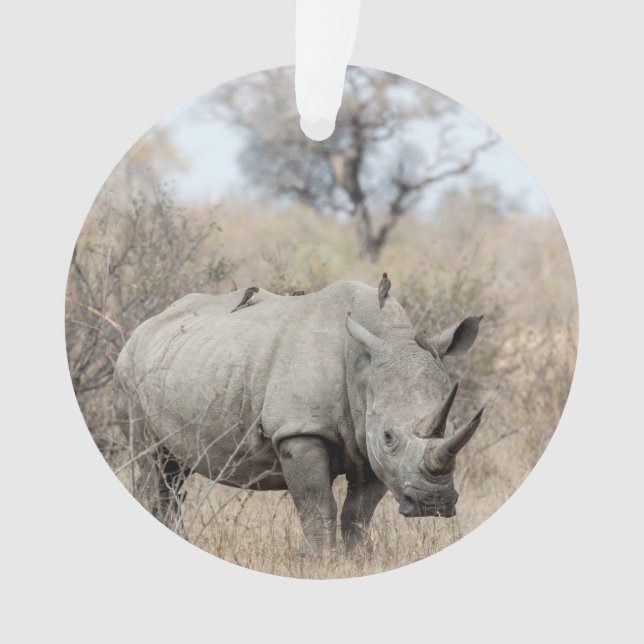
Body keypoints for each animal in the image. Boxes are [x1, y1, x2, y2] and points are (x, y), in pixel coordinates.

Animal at [113, 281, 483, 552]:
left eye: (452, 427)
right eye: (389, 437)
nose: (432, 504)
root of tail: (145, 325)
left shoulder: (368, 443)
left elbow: (358, 514)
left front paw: (358, 560)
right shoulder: (299, 430)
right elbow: (317, 506)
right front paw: (322, 561)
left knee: (175, 471)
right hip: (129, 371)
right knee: (153, 462)